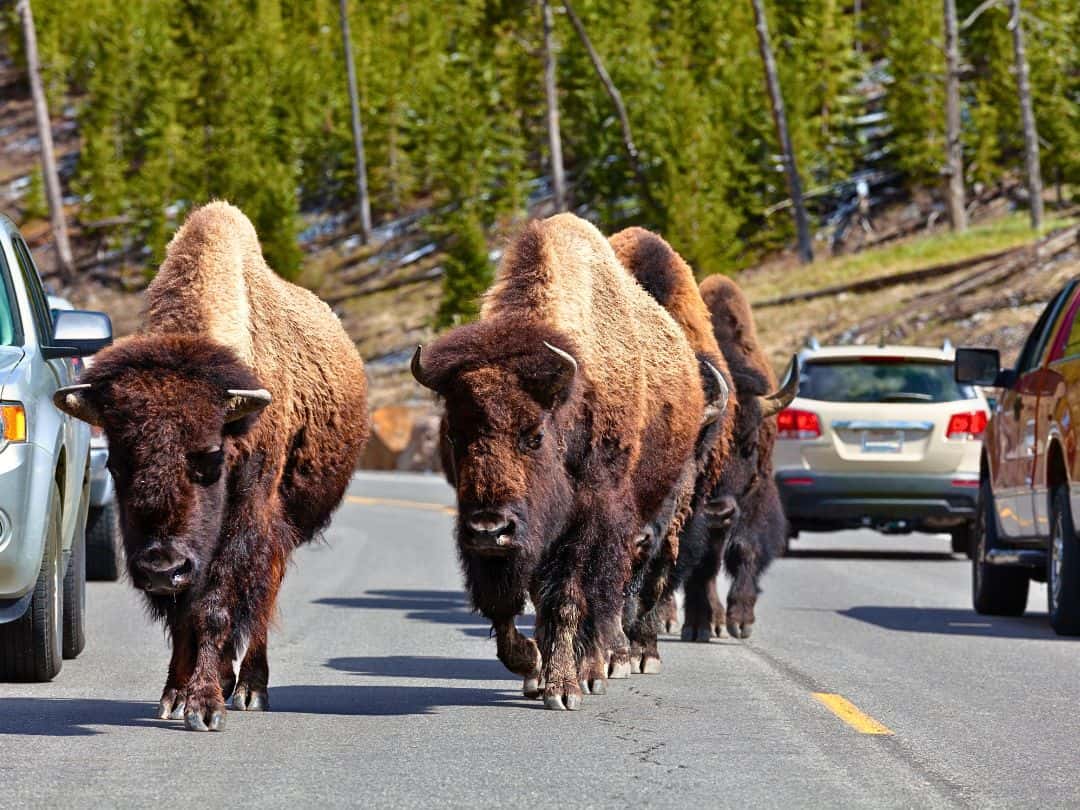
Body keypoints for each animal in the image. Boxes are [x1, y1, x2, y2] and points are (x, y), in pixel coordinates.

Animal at [52, 201, 369, 730]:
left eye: (212, 458)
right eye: (116, 462)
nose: (161, 566)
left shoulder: (243, 519)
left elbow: (216, 605)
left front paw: (205, 707)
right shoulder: (188, 558)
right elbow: (186, 616)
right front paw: (177, 695)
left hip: (280, 529)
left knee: (262, 595)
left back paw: (249, 690)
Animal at [408, 213, 704, 708]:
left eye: (535, 436)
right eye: (454, 434)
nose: (488, 528)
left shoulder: (587, 521)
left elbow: (569, 598)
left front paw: (563, 688)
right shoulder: (522, 539)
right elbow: (508, 603)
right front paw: (531, 666)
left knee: (616, 594)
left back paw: (601, 667)